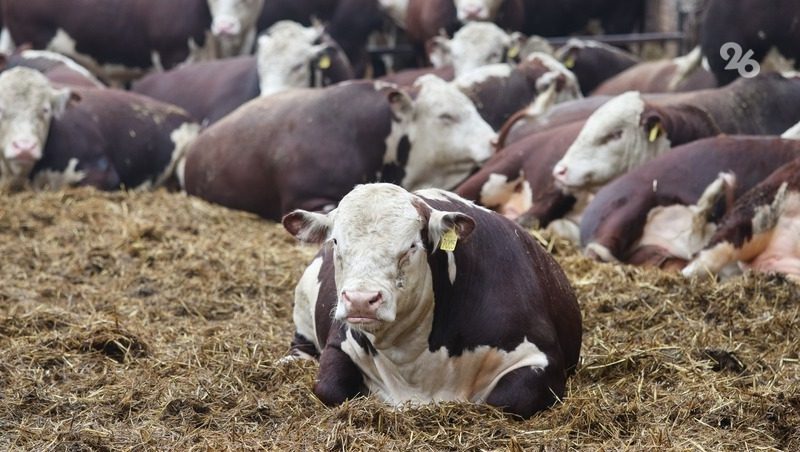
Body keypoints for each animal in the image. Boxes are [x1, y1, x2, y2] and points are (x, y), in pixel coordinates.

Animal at [282, 184, 580, 420]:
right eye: (335, 241)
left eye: (412, 246)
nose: (360, 300)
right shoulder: (339, 342)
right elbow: (329, 388)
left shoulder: (541, 356)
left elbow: (508, 400)